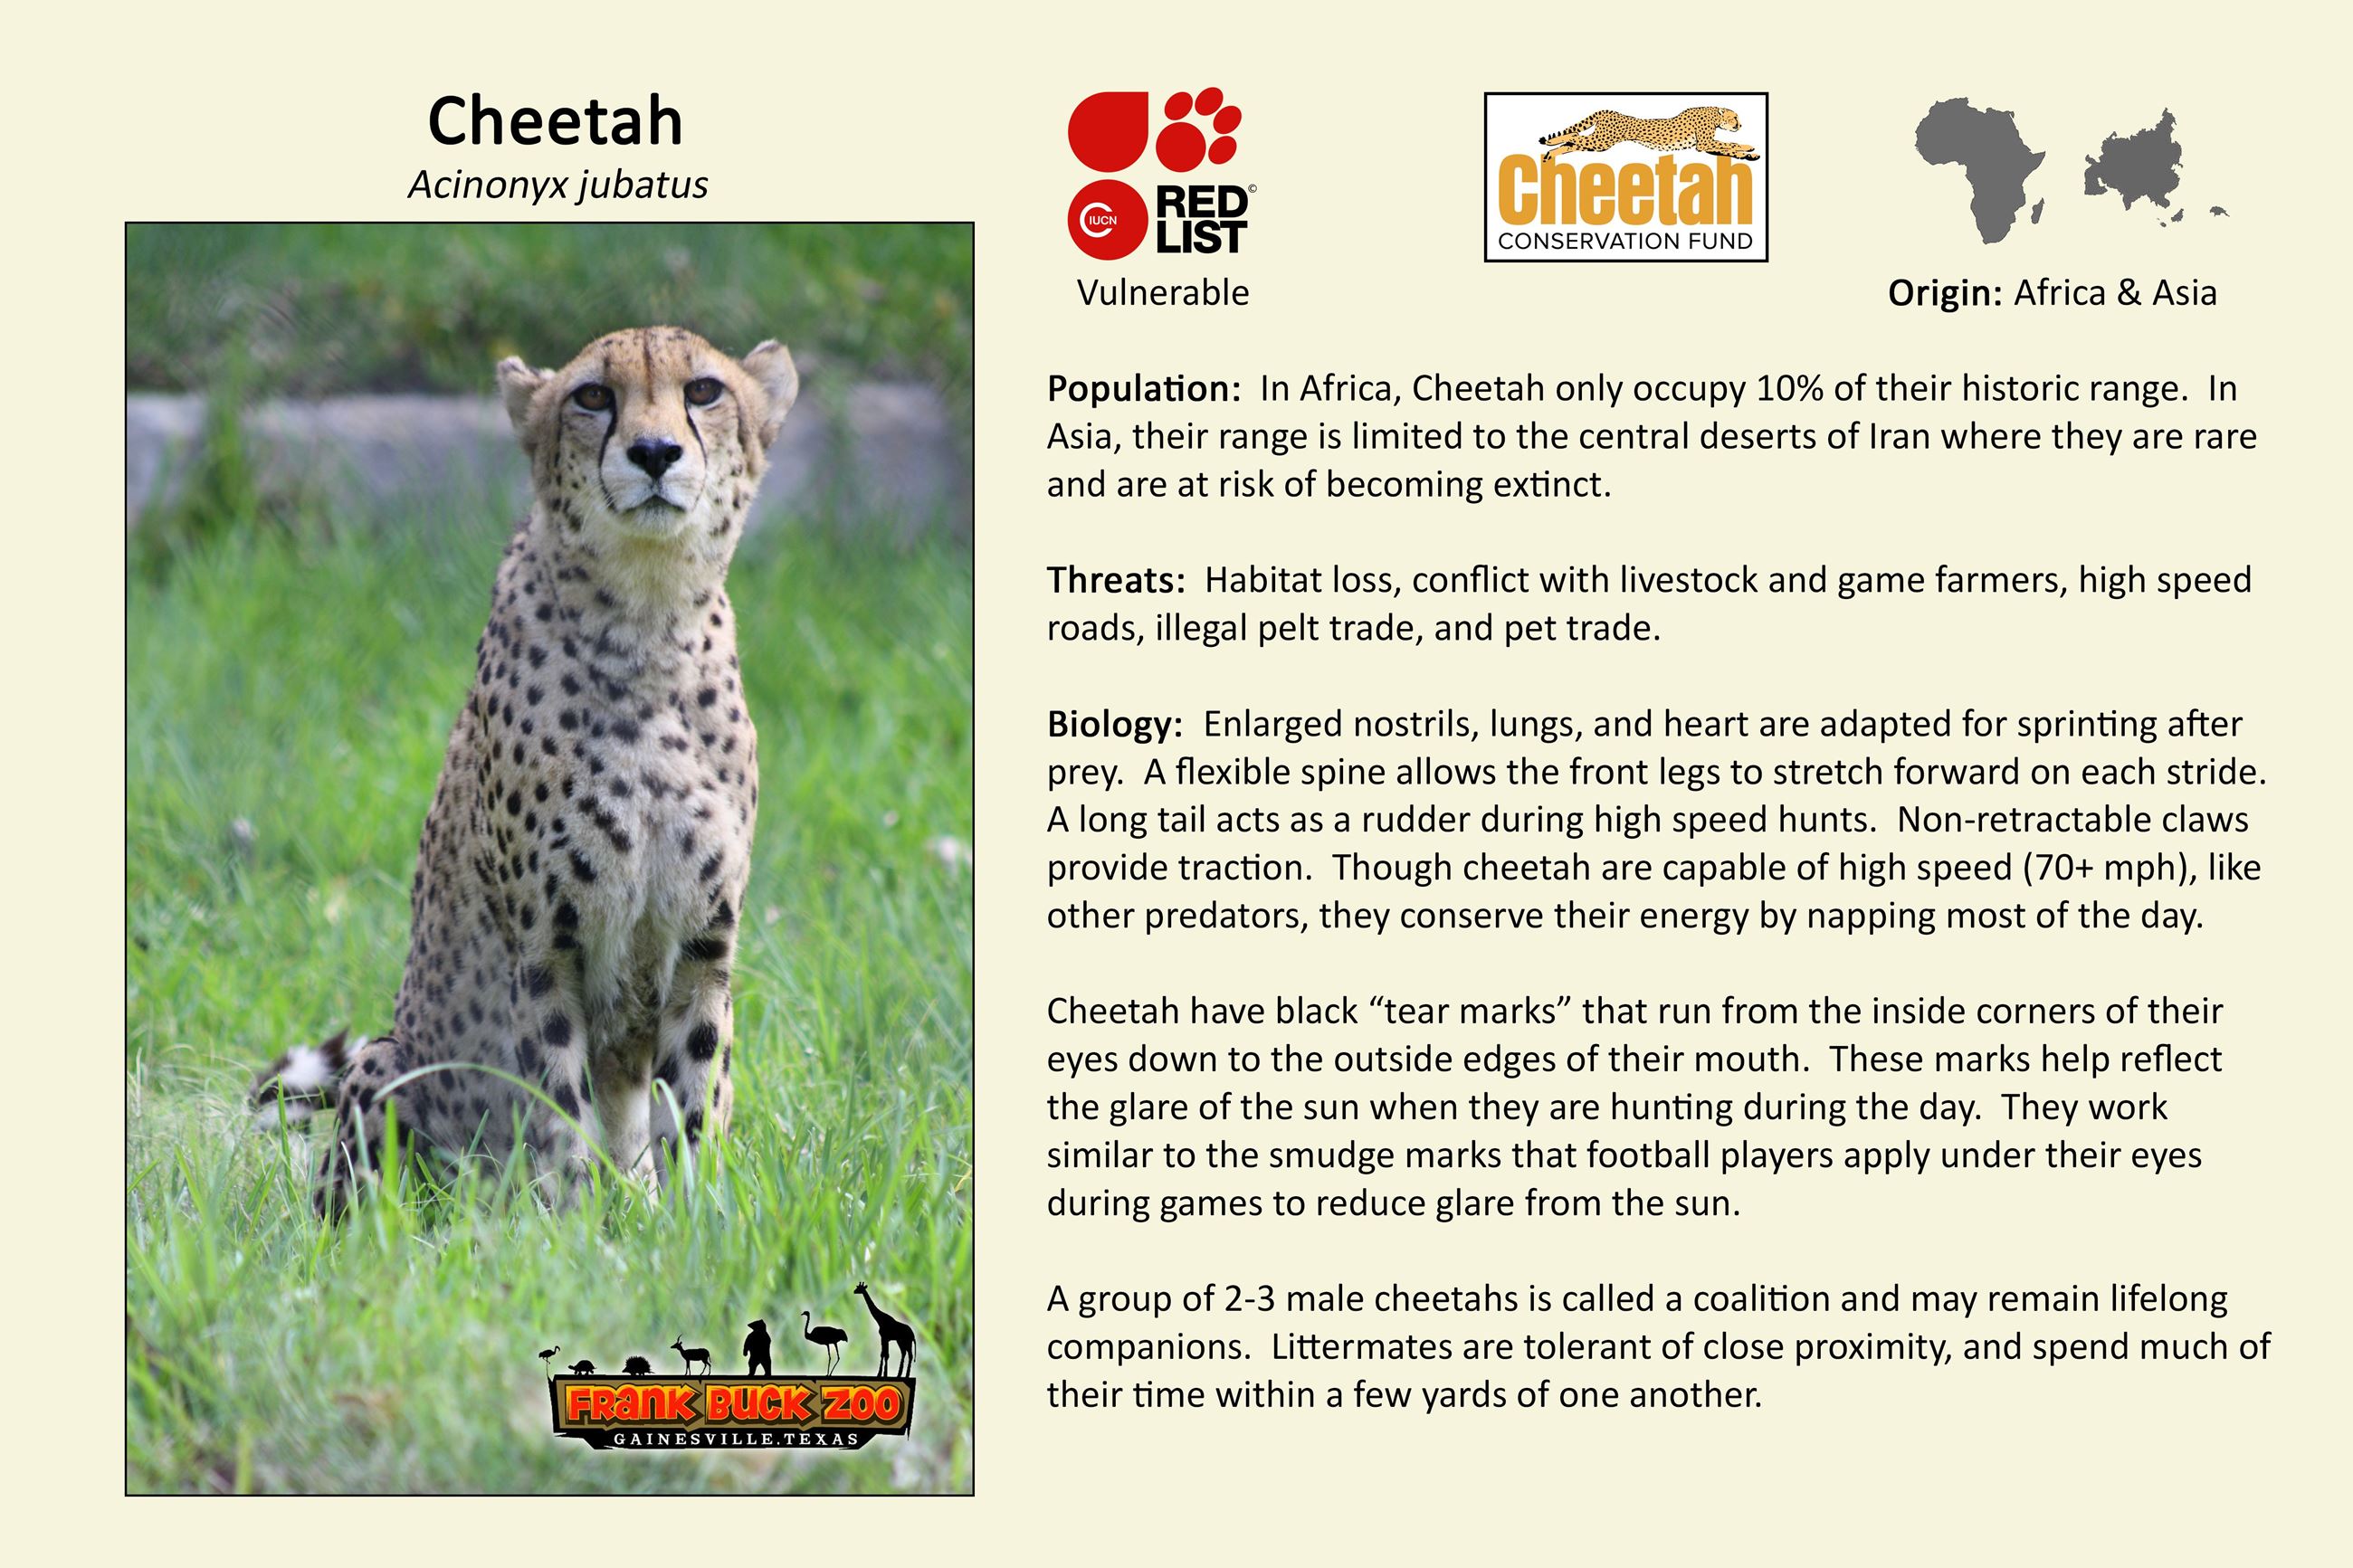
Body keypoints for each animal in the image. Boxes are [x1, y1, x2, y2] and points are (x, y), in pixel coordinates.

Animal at [251, 326, 799, 1216]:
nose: (654, 452)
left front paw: (694, 1221)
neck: (647, 615)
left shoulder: (701, 951)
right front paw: (570, 1229)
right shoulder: (546, 953)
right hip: (386, 1061)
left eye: (705, 391)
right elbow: (558, 1110)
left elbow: (695, 1103)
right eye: (593, 396)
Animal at [1539, 107, 1759, 165]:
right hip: (1601, 141)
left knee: (1573, 141)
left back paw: (1549, 153)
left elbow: (1728, 147)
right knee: (1574, 134)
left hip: (1597, 142)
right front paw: (1748, 151)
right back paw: (1549, 142)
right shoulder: (1703, 144)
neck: (1714, 114)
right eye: (1734, 117)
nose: (1740, 124)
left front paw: (1749, 153)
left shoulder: (1706, 146)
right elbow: (1729, 145)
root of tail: (1608, 111)